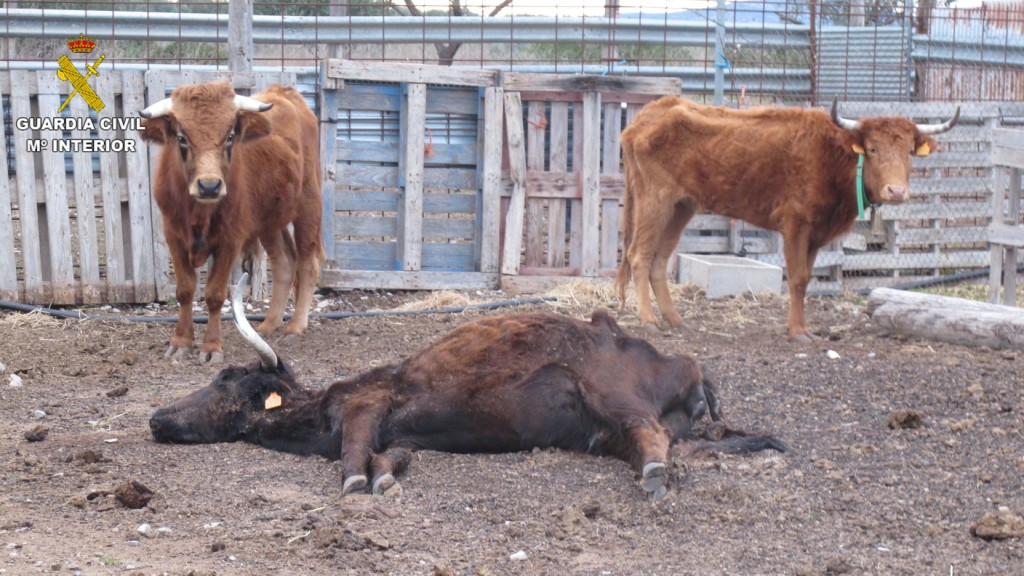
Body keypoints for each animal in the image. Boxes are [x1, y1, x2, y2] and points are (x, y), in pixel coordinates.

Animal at [140, 81, 321, 358]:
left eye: (230, 136)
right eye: (181, 138)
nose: (209, 186)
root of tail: (284, 91)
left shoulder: (230, 239)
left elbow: (215, 293)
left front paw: (212, 346)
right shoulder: (173, 235)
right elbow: (185, 290)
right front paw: (181, 342)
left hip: (309, 205)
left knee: (308, 265)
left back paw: (294, 328)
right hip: (269, 221)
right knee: (284, 263)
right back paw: (268, 325)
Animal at [149, 276, 782, 496]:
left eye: (225, 378)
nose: (156, 416)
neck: (316, 412)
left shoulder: (365, 407)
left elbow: (353, 454)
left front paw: (357, 481)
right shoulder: (395, 434)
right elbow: (388, 457)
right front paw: (383, 477)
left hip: (612, 397)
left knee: (650, 432)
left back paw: (653, 472)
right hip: (605, 432)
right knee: (678, 440)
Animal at [614, 97, 958, 340]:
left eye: (910, 152)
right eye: (872, 148)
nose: (896, 191)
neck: (833, 155)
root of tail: (646, 117)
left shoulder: (817, 235)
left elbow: (805, 279)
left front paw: (801, 327)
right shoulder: (796, 225)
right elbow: (797, 278)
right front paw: (798, 331)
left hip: (681, 207)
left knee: (659, 260)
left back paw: (675, 319)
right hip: (655, 202)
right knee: (639, 255)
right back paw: (648, 320)